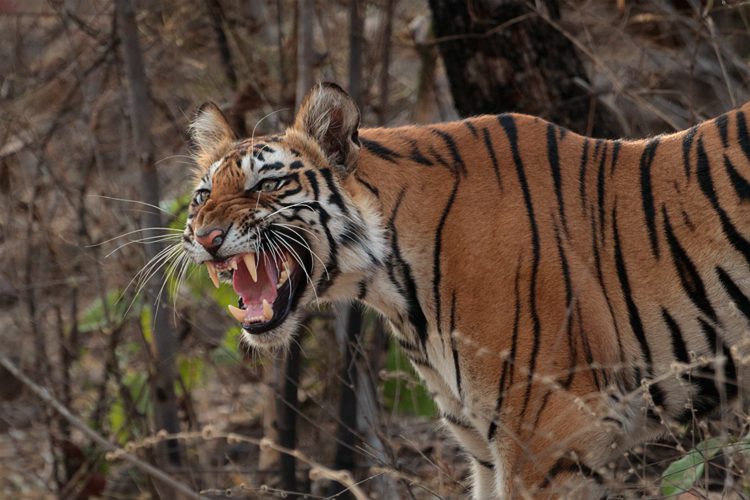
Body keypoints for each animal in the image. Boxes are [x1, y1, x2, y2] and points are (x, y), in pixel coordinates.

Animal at [181, 82, 750, 496]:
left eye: (267, 185)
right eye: (203, 195)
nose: (204, 237)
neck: (394, 291)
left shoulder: (552, 437)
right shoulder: (485, 447)